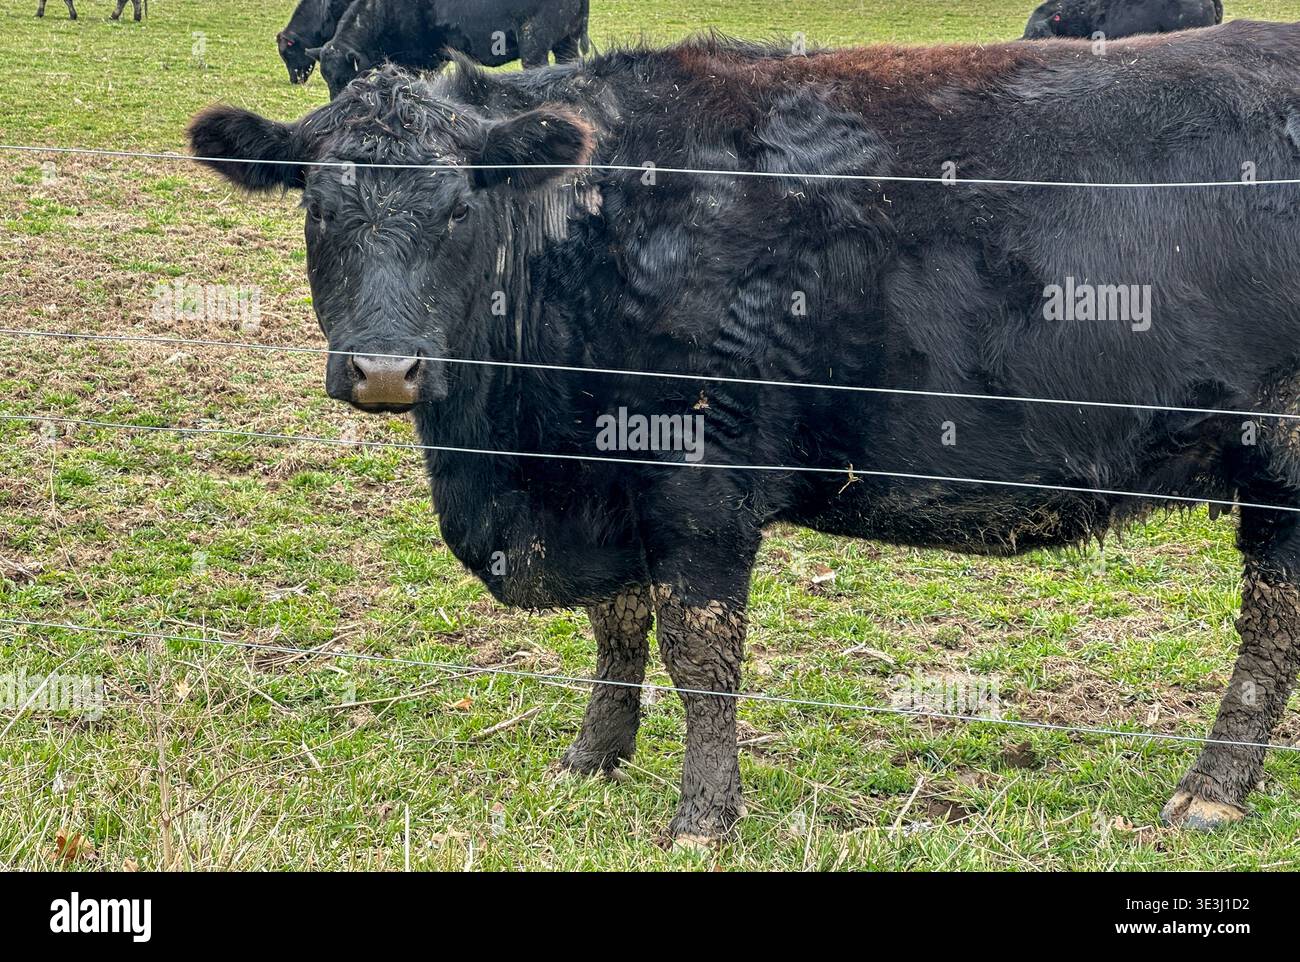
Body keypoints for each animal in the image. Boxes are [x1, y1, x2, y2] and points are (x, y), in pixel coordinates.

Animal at [189, 20, 1300, 842]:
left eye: (460, 208)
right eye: (319, 206)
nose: (385, 369)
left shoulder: (698, 475)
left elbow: (698, 647)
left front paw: (702, 815)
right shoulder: (611, 480)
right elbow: (619, 628)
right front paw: (592, 757)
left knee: (1269, 628)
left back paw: (1209, 791)